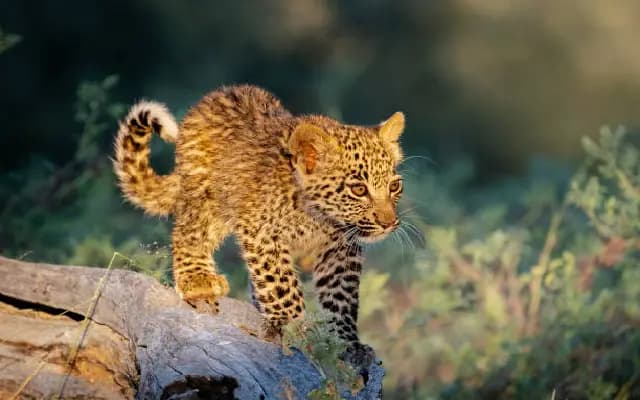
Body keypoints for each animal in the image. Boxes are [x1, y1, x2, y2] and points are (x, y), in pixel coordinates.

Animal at [113, 84, 405, 365]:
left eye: (394, 186)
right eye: (358, 189)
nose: (389, 223)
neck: (318, 216)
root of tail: (214, 96)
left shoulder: (340, 248)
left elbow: (341, 296)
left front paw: (346, 345)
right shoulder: (261, 231)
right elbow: (282, 285)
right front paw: (298, 330)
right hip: (206, 197)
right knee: (189, 231)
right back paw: (199, 281)